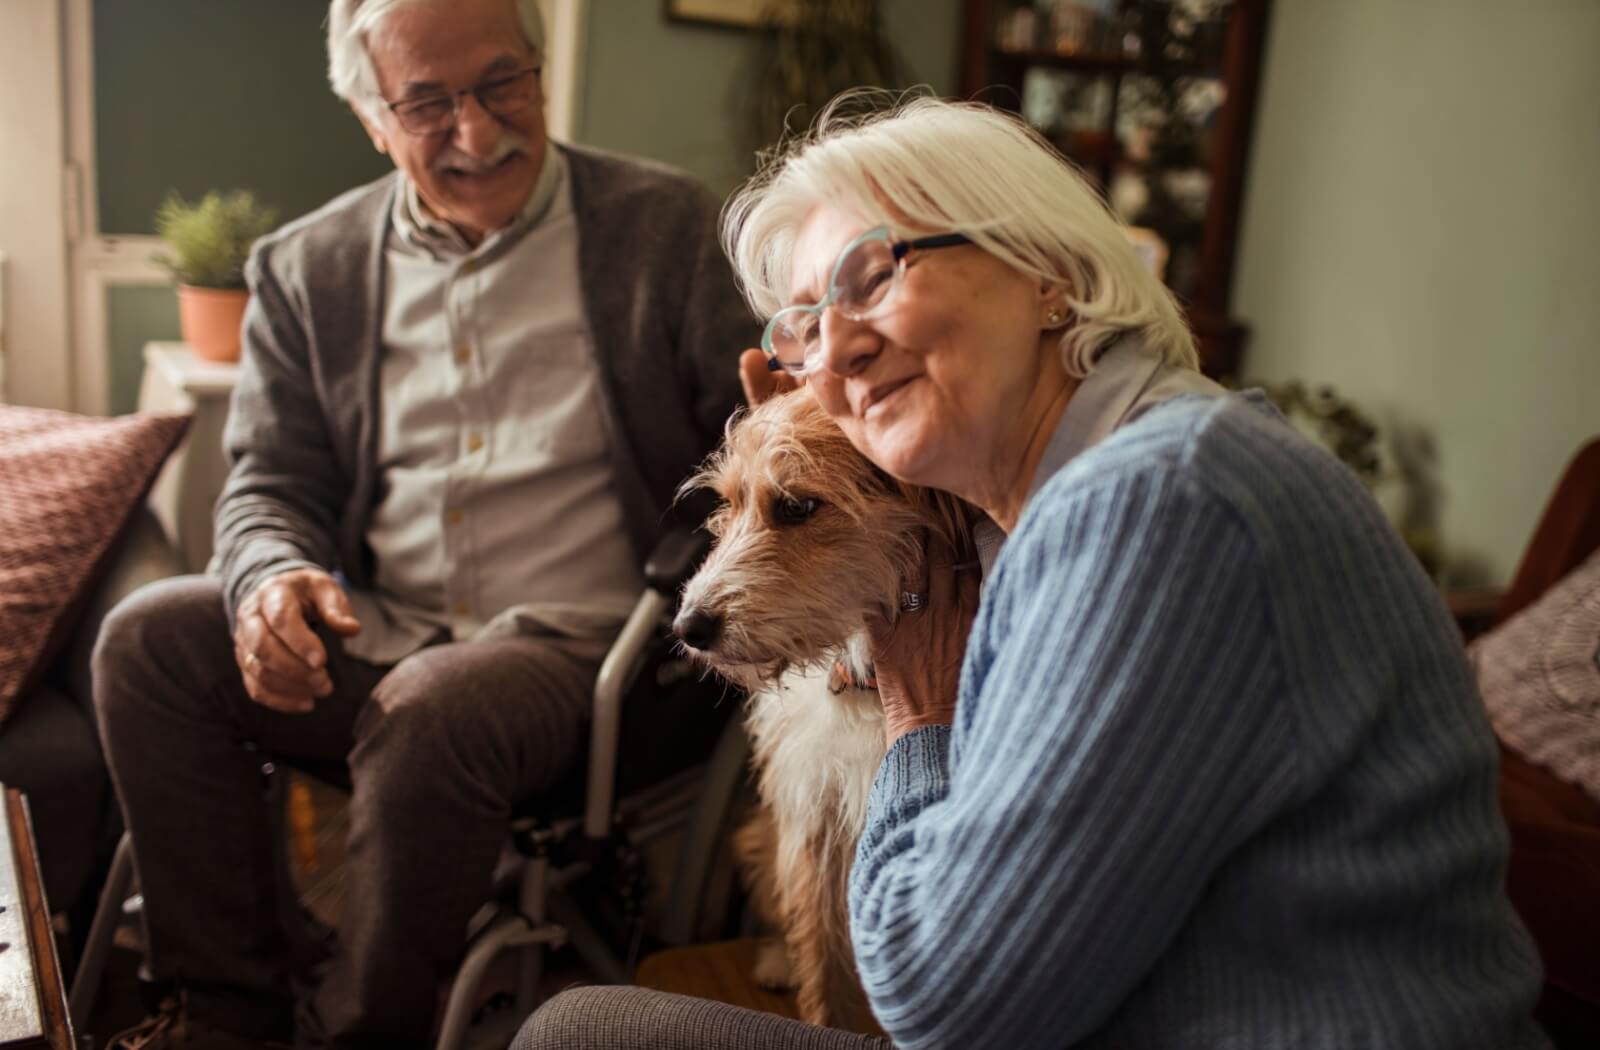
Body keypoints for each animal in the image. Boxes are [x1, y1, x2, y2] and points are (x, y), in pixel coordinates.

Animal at [668, 387, 966, 1030]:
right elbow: (822, 957)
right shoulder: (815, 817)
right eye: (729, 502)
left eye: (798, 506)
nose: (687, 628)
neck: (868, 687)